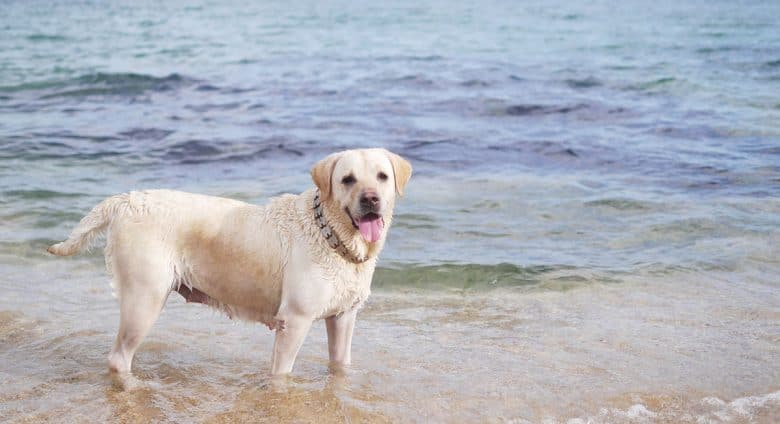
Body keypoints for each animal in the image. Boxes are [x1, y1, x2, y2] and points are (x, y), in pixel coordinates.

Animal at [48, 148, 412, 378]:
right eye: (347, 179)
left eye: (382, 177)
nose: (371, 199)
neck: (331, 234)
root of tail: (126, 200)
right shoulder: (294, 321)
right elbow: (281, 373)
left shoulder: (343, 317)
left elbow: (340, 364)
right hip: (144, 299)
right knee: (119, 357)